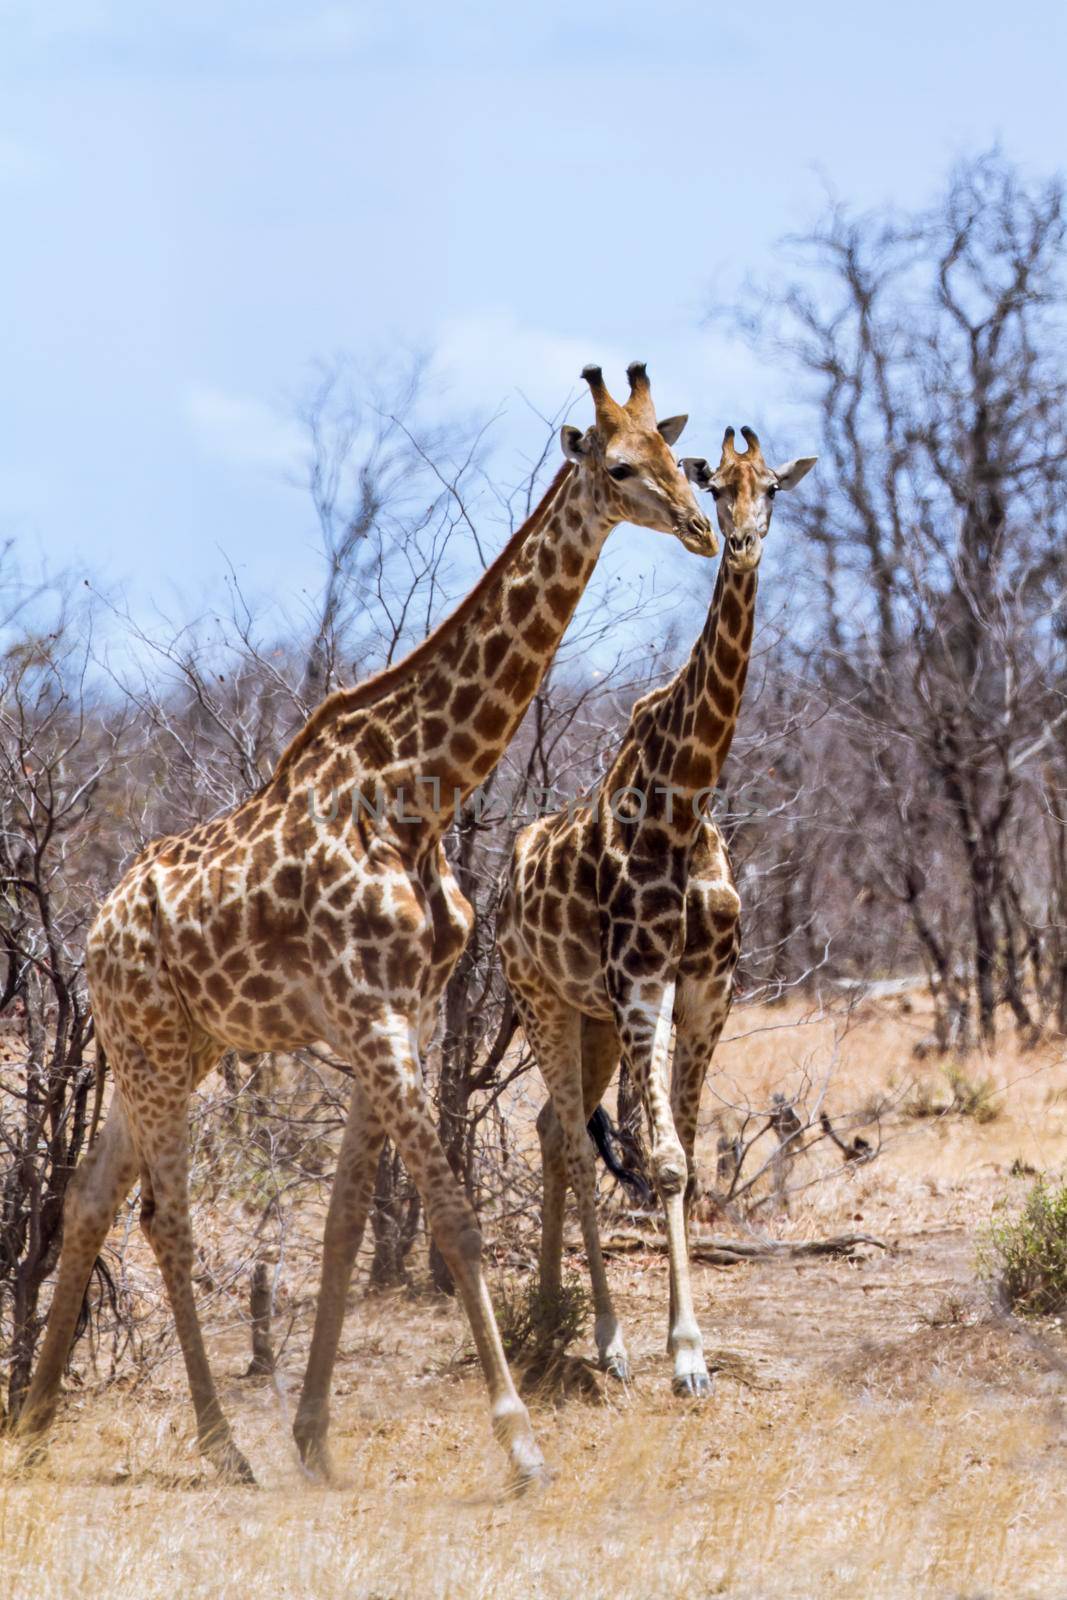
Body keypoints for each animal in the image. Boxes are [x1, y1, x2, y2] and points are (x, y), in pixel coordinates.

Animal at [14, 363, 716, 1484]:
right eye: (617, 466)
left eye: (676, 458)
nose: (698, 527)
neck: (416, 791)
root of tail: (90, 934)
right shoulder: (372, 1015)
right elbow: (453, 1220)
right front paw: (519, 1443)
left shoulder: (402, 1014)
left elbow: (348, 1224)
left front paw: (314, 1437)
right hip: (157, 1050)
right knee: (165, 1218)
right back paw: (220, 1446)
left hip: (158, 1049)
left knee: (89, 1200)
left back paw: (36, 1425)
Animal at [495, 422, 812, 1388]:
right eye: (716, 485)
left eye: (773, 487)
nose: (737, 543)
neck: (686, 798)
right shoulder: (639, 981)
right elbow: (664, 1161)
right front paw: (684, 1356)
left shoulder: (708, 983)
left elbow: (688, 1158)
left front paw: (686, 1348)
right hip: (543, 999)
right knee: (566, 1133)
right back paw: (594, 1334)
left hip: (589, 1017)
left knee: (550, 1126)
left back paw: (563, 1317)